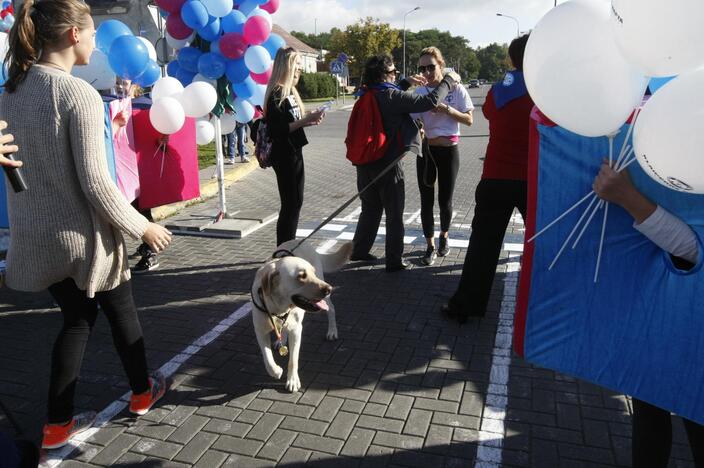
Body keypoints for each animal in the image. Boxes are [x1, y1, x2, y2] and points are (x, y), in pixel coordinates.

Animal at [252, 241, 352, 392]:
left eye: (312, 273)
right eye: (301, 276)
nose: (329, 289)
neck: (280, 307)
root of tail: (303, 242)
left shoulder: (297, 330)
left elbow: (293, 360)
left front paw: (292, 380)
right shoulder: (260, 330)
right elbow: (267, 357)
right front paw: (276, 371)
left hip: (324, 299)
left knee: (331, 309)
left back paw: (332, 331)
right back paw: (281, 341)